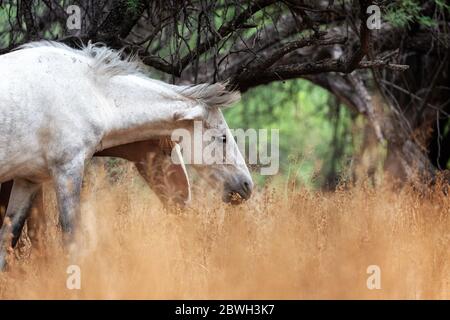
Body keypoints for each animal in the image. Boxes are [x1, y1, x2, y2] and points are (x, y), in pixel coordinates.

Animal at [0, 41, 251, 268]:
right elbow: (71, 240)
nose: (247, 185)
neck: (90, 94)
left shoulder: (28, 180)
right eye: (223, 138)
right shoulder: (67, 170)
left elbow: (8, 239)